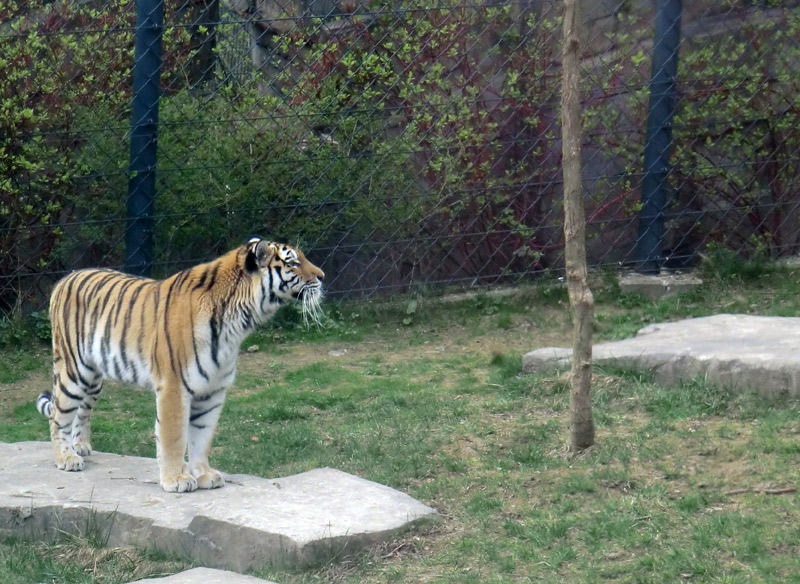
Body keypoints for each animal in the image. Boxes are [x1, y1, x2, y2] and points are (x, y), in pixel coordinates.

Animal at [36, 237, 324, 492]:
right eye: (293, 263)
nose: (322, 276)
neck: (239, 320)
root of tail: (66, 278)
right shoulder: (174, 385)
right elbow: (174, 436)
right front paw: (176, 480)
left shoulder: (213, 390)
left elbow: (202, 437)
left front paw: (204, 474)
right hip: (74, 369)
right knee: (59, 414)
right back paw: (67, 458)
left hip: (94, 378)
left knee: (82, 411)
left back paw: (81, 446)